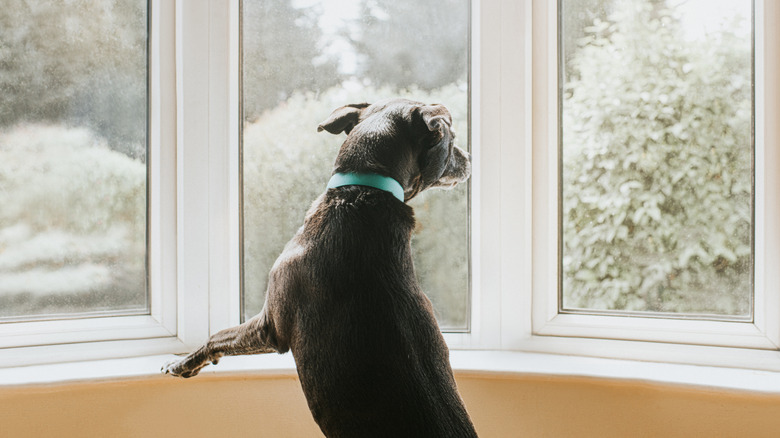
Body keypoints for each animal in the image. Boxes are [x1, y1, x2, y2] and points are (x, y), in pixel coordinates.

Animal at [163, 99, 476, 438]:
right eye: (452, 139)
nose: (469, 158)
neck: (361, 193)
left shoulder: (269, 326)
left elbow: (217, 335)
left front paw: (182, 363)